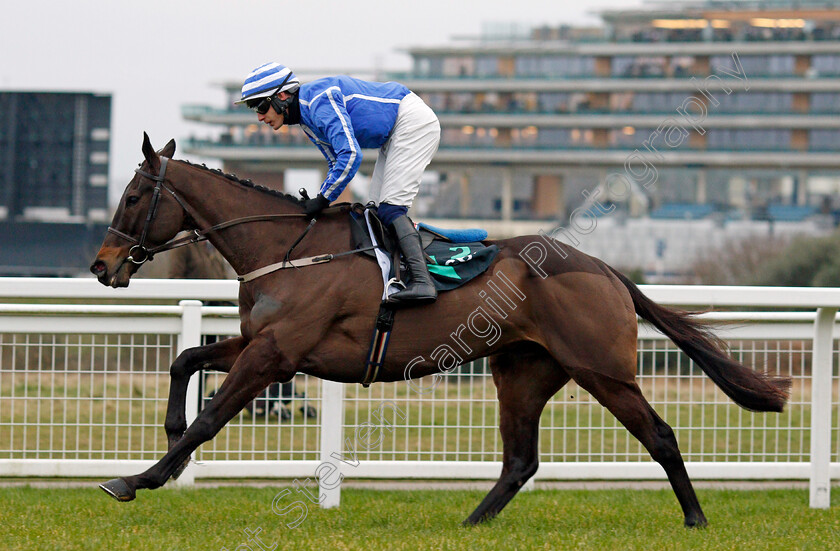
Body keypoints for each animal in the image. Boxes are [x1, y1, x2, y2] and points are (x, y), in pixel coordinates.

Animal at [88, 135, 792, 532]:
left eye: (131, 198)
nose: (102, 266)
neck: (289, 250)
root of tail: (606, 269)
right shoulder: (266, 347)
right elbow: (185, 358)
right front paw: (169, 435)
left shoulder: (275, 354)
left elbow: (210, 418)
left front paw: (138, 478)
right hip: (523, 371)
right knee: (520, 460)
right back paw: (470, 523)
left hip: (603, 371)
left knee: (661, 436)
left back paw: (696, 519)